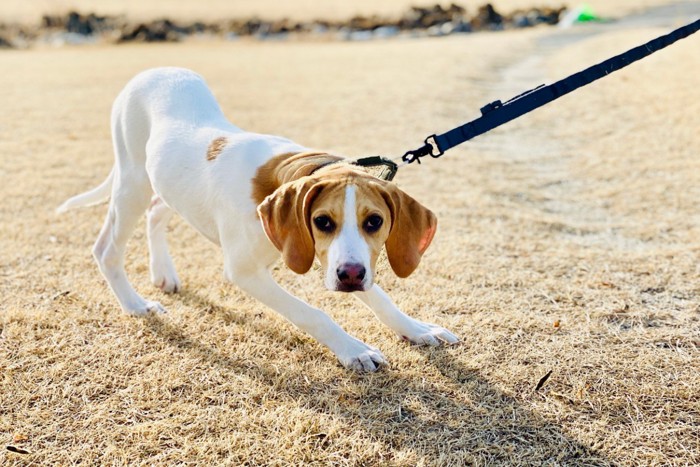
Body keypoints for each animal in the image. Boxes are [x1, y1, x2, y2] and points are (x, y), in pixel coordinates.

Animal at [57, 66, 456, 372]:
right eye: (323, 221)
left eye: (374, 222)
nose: (351, 277)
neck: (285, 173)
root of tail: (150, 72)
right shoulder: (247, 272)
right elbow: (313, 313)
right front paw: (354, 350)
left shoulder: (330, 255)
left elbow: (381, 298)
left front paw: (416, 329)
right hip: (133, 181)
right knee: (107, 248)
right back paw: (136, 305)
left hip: (168, 184)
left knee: (157, 211)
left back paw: (163, 274)